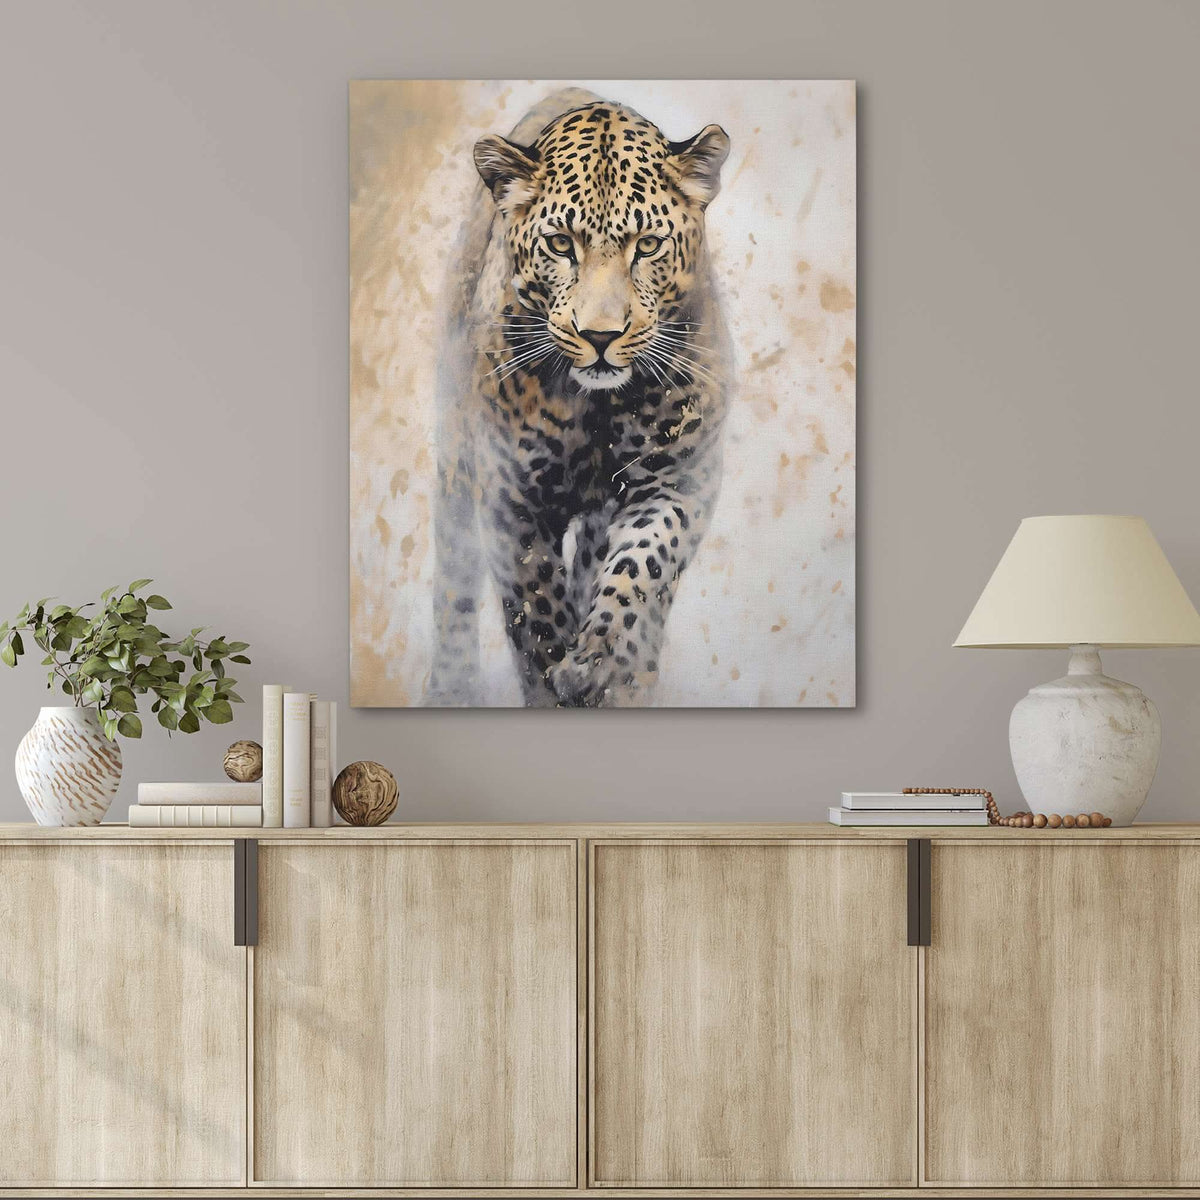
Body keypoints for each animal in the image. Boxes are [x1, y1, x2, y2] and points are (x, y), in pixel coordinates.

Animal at [428, 89, 732, 707]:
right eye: (561, 244)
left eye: (648, 245)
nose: (600, 336)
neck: (597, 410)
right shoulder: (511, 500)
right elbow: (537, 611)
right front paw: (556, 680)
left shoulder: (679, 479)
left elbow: (641, 567)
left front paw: (602, 663)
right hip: (455, 458)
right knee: (453, 577)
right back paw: (451, 686)